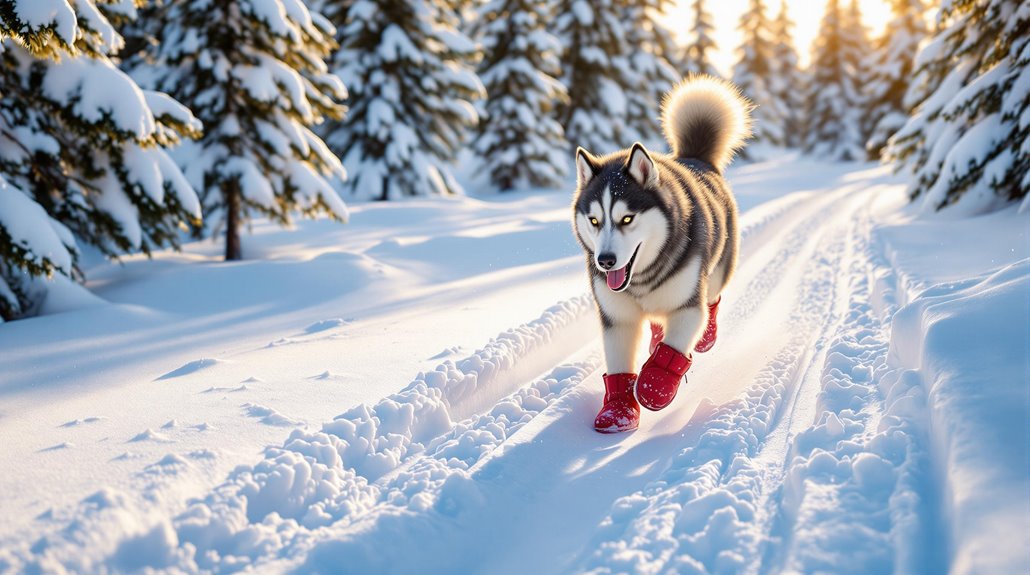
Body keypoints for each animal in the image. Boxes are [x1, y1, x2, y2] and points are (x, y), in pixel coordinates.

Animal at [572, 75, 749, 432]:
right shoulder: (617, 318)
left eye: (627, 218)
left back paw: (705, 338)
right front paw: (618, 410)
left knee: (712, 300)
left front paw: (656, 384)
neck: (641, 279)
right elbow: (619, 363)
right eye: (594, 220)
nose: (605, 261)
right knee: (657, 323)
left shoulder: (688, 307)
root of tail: (696, 159)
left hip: (718, 270)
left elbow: (675, 344)